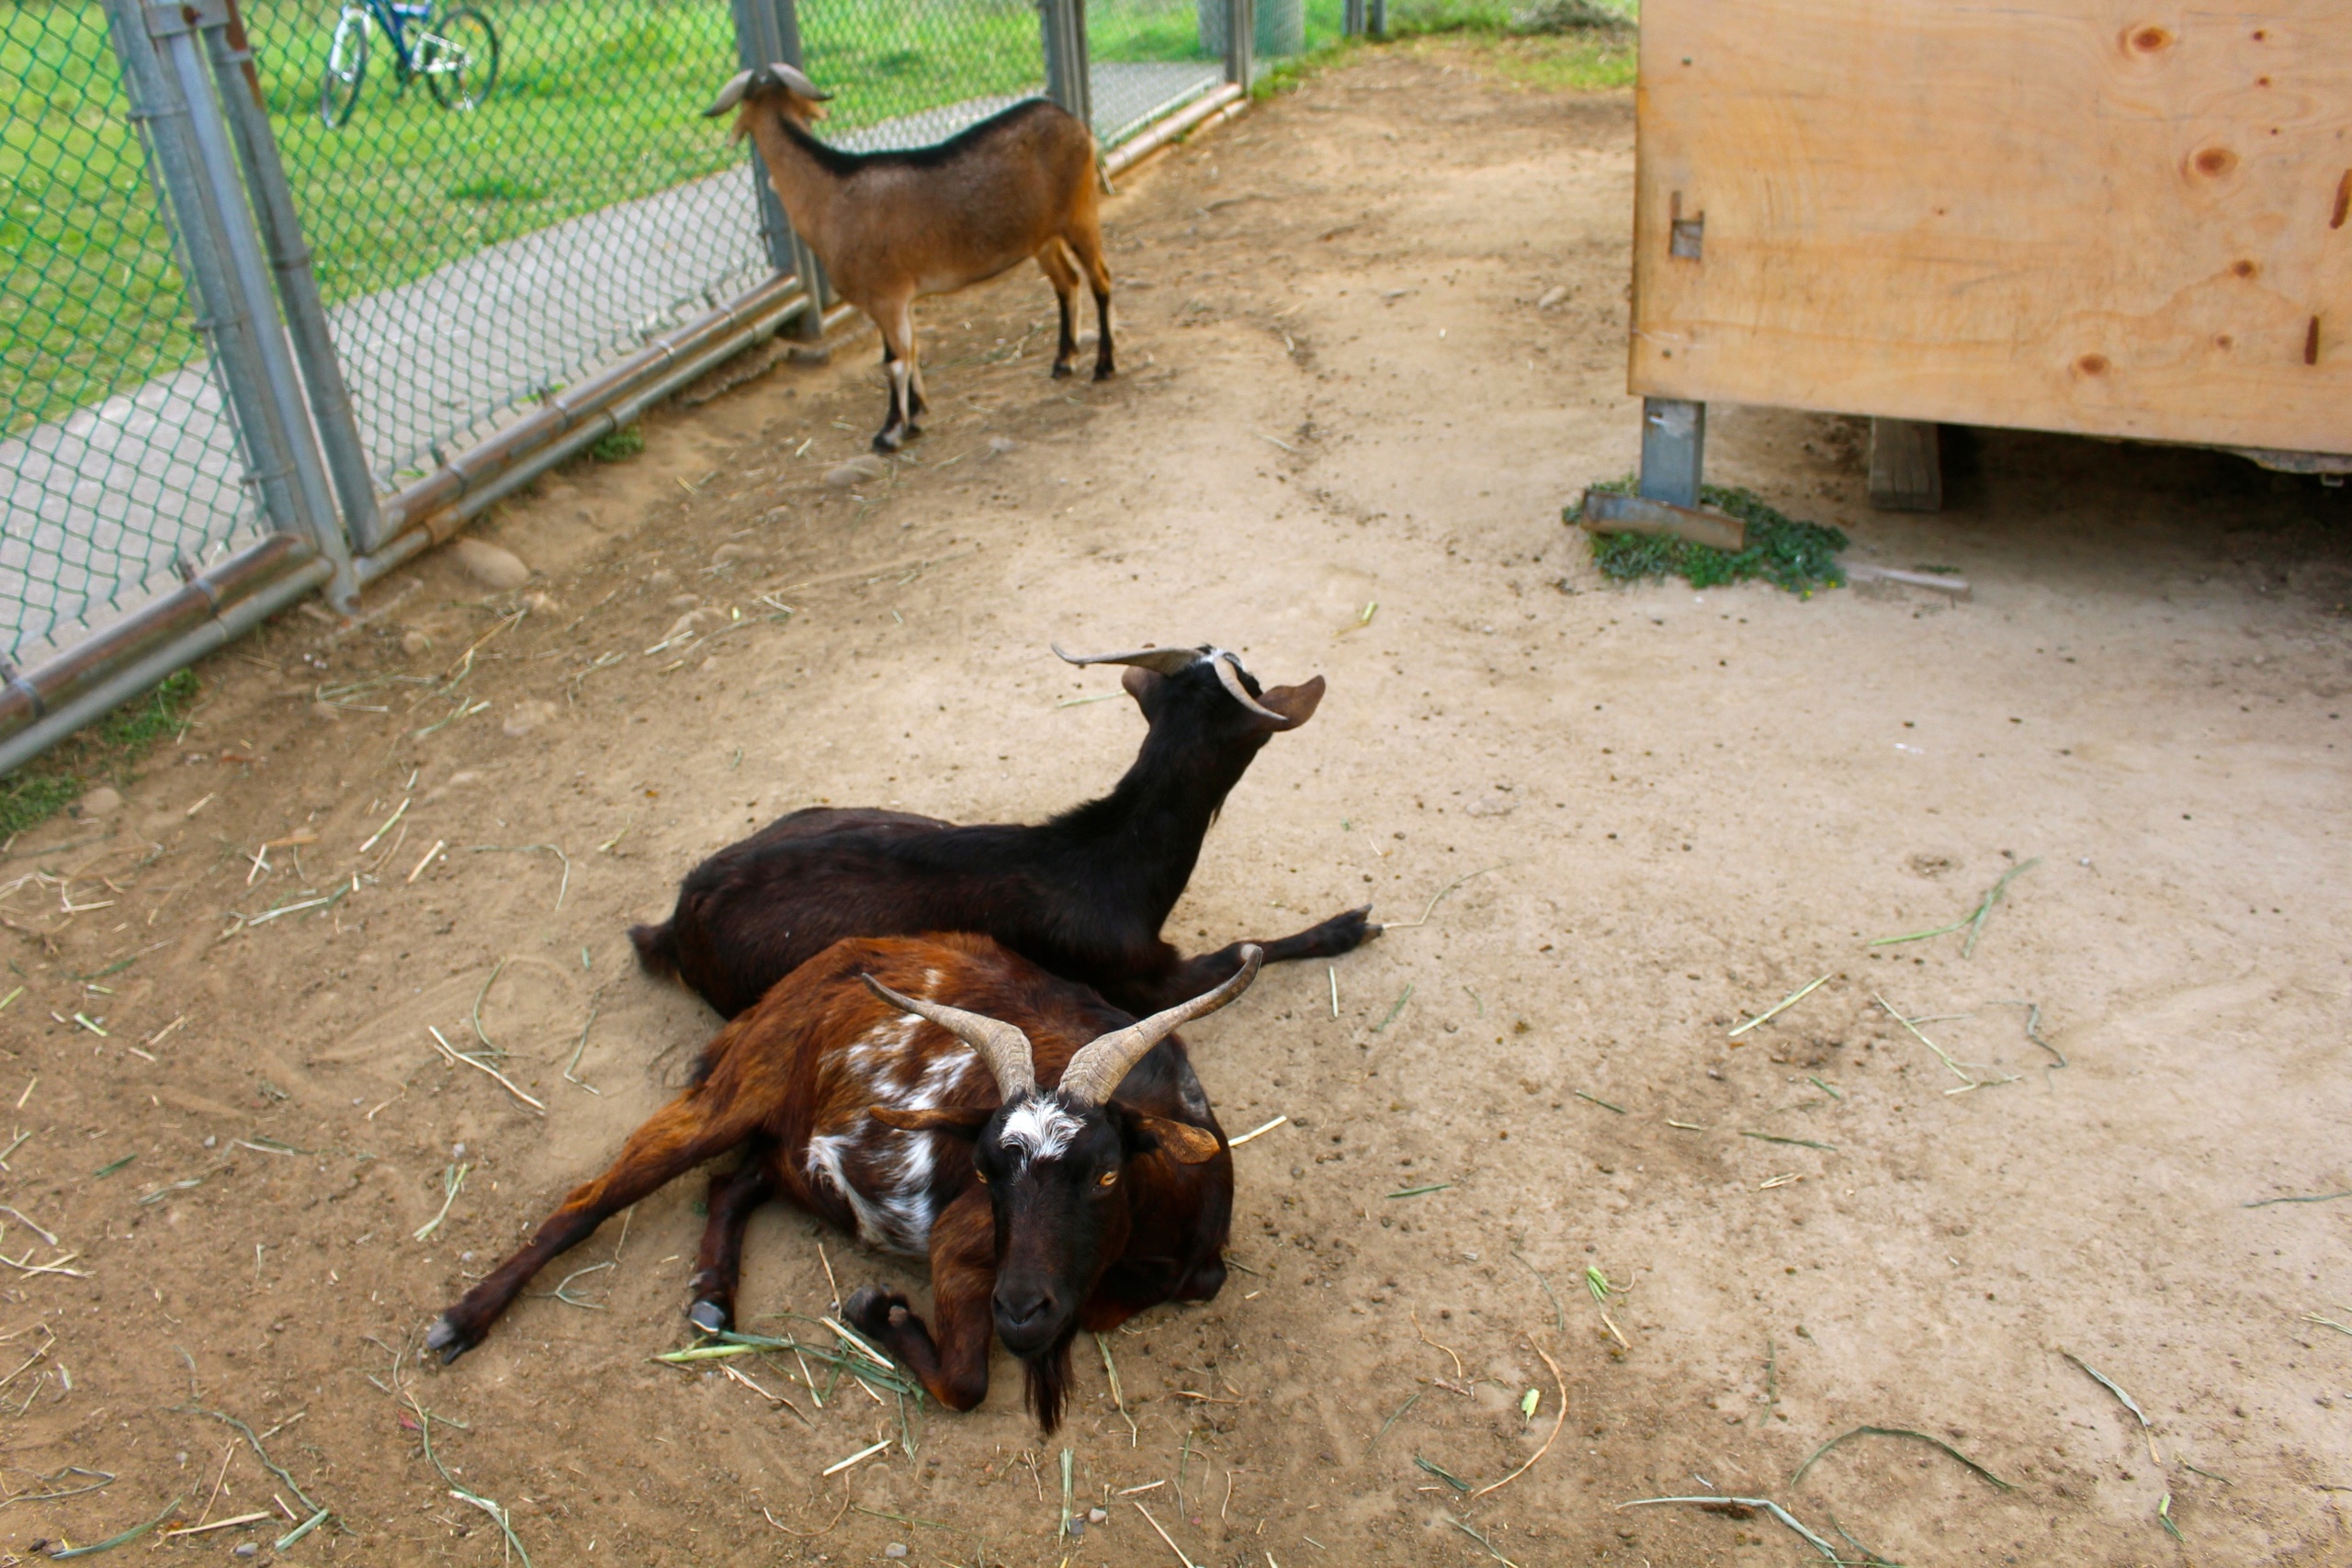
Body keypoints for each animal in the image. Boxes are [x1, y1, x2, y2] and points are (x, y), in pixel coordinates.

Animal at [635, 639, 1383, 1020]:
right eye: (1252, 680)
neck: (1104, 859)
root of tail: (676, 920)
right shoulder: (1145, 979)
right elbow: (1243, 952)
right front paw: (1346, 926)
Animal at [700, 69, 1114, 460]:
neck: (830, 192)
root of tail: (1073, 121)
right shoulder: (896, 299)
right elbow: (910, 350)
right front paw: (914, 416)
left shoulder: (886, 296)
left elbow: (895, 361)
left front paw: (889, 432)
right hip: (1043, 237)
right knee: (1067, 282)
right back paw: (1064, 361)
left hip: (1080, 214)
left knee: (1100, 280)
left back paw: (1104, 365)